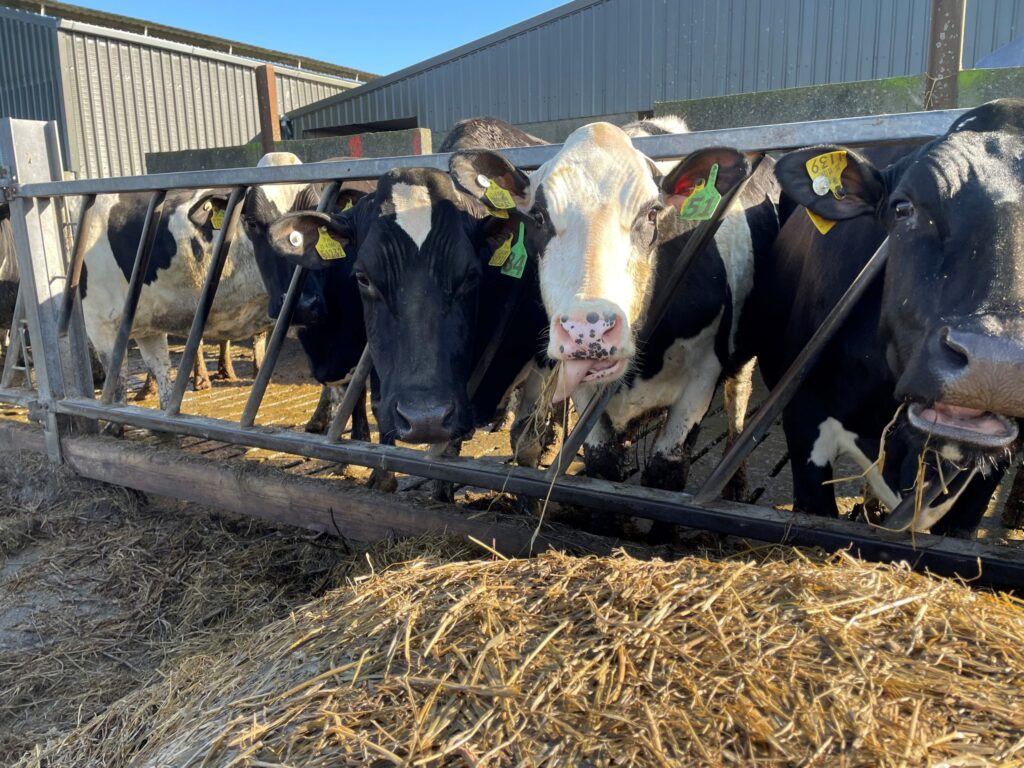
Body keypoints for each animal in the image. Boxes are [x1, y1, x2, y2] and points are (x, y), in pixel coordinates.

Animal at [449, 119, 783, 498]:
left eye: (652, 213)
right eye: (538, 216)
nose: (587, 330)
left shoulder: (702, 375)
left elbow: (665, 471)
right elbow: (602, 461)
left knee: (737, 399)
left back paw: (735, 483)